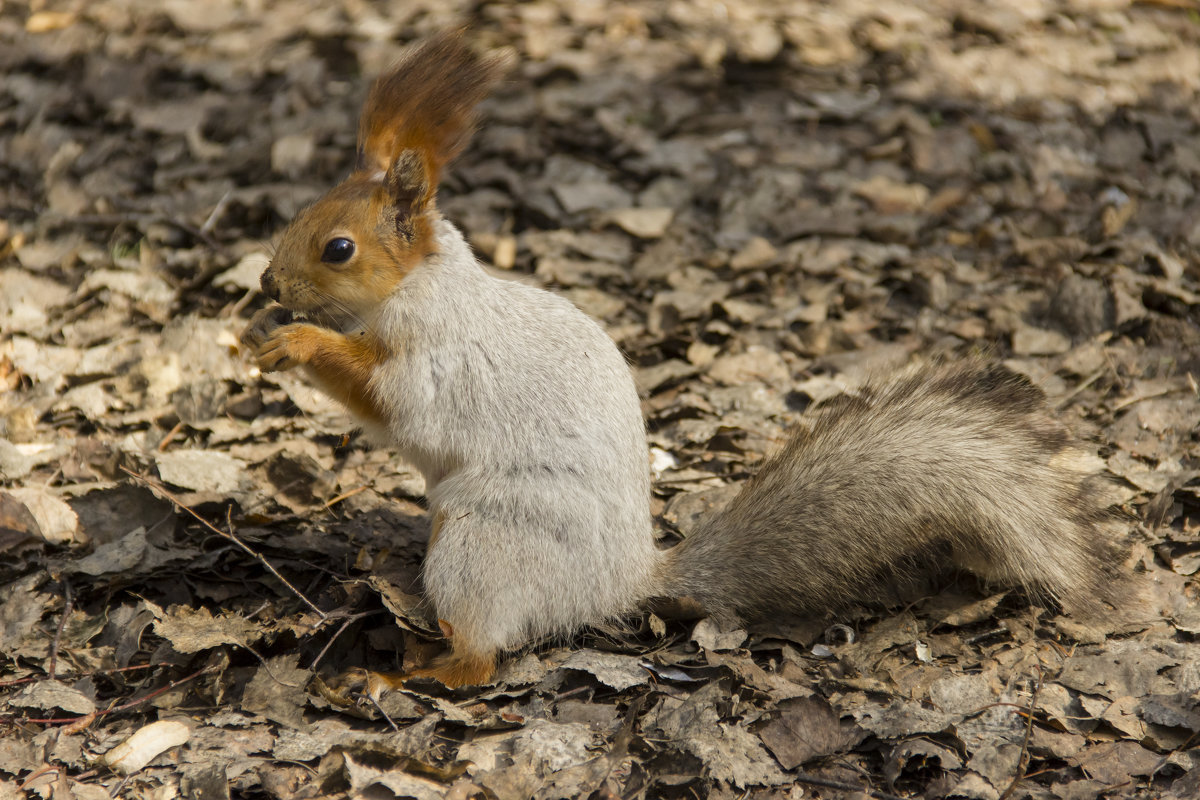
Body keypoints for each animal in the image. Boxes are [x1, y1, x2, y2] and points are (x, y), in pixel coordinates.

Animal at [241, 34, 1132, 690]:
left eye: (339, 247)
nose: (267, 283)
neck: (423, 283)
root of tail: (622, 582)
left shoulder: (435, 356)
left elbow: (391, 398)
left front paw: (295, 341)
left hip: (481, 548)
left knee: (485, 656)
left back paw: (418, 671)